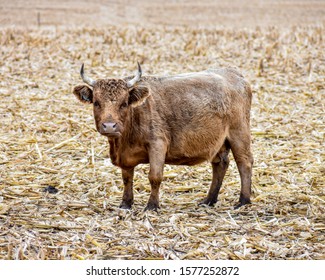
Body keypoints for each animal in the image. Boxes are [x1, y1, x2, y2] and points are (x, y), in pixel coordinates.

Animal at [73, 62, 253, 211]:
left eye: (124, 103)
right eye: (97, 103)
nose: (109, 126)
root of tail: (234, 74)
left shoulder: (157, 145)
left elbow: (155, 176)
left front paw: (152, 206)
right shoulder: (126, 157)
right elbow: (127, 178)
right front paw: (126, 203)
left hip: (239, 134)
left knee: (244, 163)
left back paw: (243, 201)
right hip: (218, 143)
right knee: (220, 164)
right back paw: (209, 200)